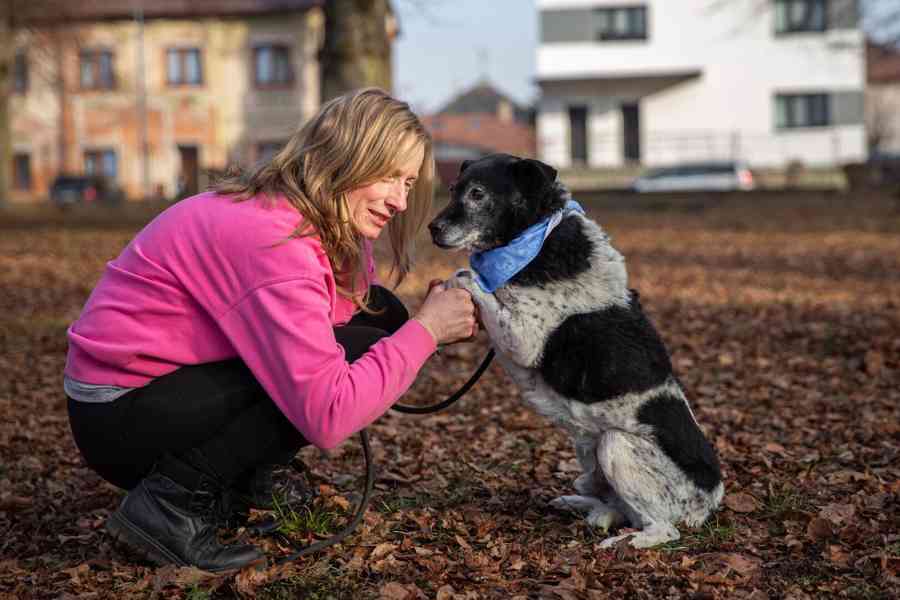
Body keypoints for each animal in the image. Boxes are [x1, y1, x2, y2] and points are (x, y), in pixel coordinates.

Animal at [428, 155, 724, 548]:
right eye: (452, 190)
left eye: (477, 194)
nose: (432, 228)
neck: (535, 240)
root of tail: (709, 502)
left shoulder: (523, 338)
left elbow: (467, 275)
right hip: (592, 465)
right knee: (612, 504)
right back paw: (580, 504)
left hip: (615, 445)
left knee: (664, 528)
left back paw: (627, 542)